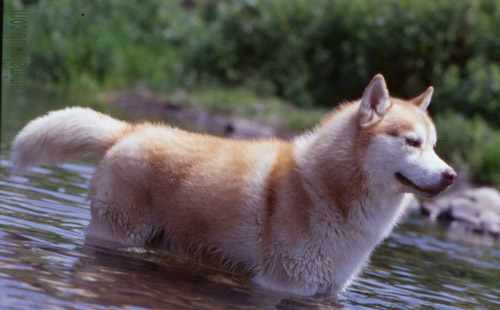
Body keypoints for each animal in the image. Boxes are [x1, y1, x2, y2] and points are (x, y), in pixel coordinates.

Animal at [11, 74, 458, 296]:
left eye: (435, 145)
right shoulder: (285, 284)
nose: (451, 175)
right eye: (412, 142)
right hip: (119, 236)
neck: (331, 192)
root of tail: (129, 130)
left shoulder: (327, 291)